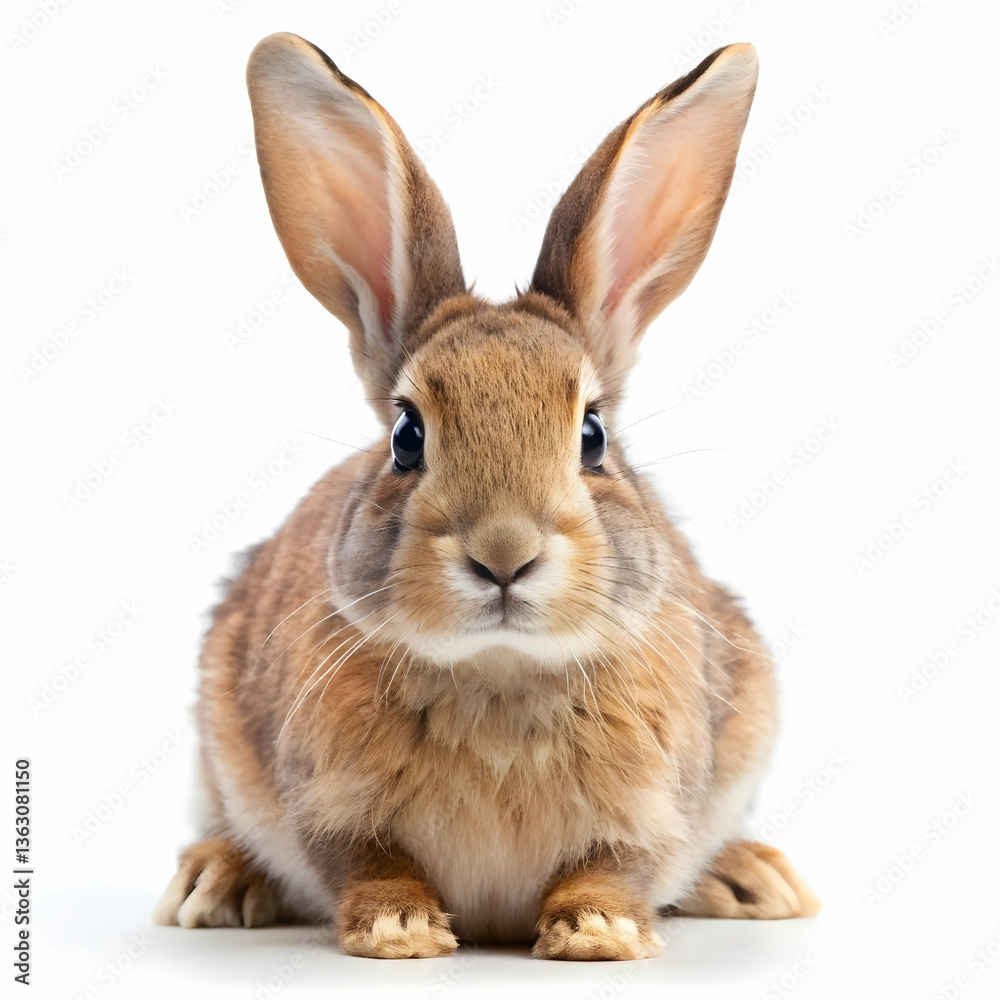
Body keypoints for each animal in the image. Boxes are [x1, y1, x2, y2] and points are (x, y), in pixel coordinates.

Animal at [153, 32, 819, 960]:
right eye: (407, 436)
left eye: (592, 436)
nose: (504, 553)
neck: (500, 674)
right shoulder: (328, 804)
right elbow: (367, 863)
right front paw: (398, 931)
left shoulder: (654, 810)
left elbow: (616, 867)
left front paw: (599, 933)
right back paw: (216, 882)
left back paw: (753, 879)